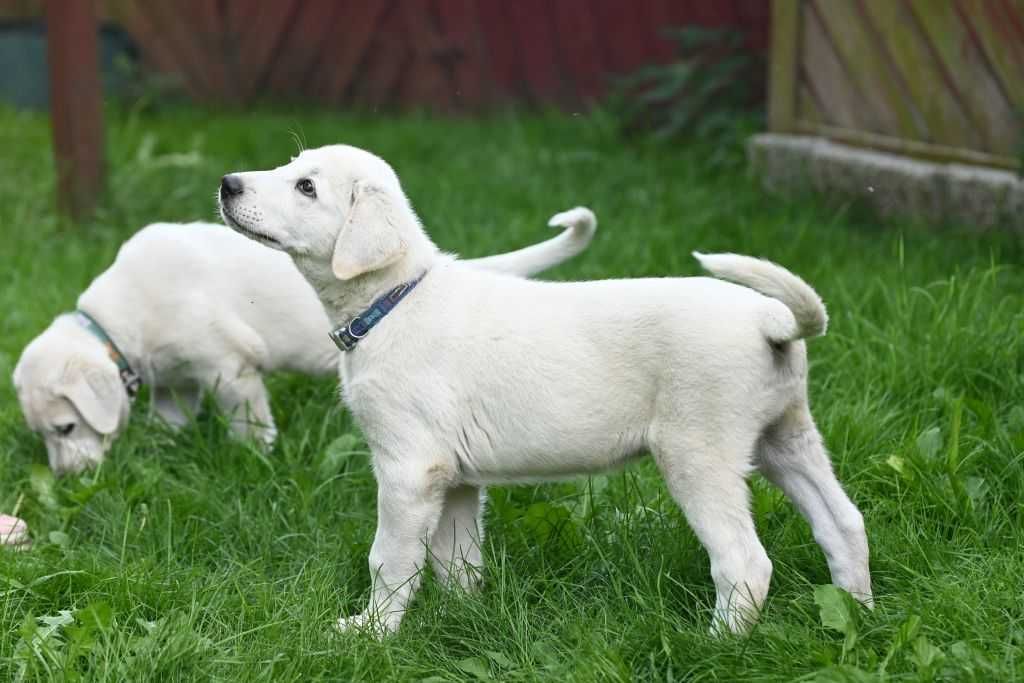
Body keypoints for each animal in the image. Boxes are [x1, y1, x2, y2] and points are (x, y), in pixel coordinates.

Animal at [12, 214, 598, 475]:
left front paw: (256, 456)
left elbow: (249, 424)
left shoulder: (230, 368)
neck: (118, 319)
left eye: (66, 428)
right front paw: (164, 445)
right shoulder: (175, 383)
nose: (67, 480)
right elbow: (169, 418)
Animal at [218, 144, 872, 634]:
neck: (395, 298)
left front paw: (371, 631)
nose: (227, 183)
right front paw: (464, 623)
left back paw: (717, 644)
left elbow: (390, 559)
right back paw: (857, 614)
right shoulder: (456, 481)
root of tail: (772, 320)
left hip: (699, 455)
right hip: (785, 439)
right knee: (844, 525)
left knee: (744, 562)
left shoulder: (408, 469)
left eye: (306, 187)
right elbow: (456, 561)